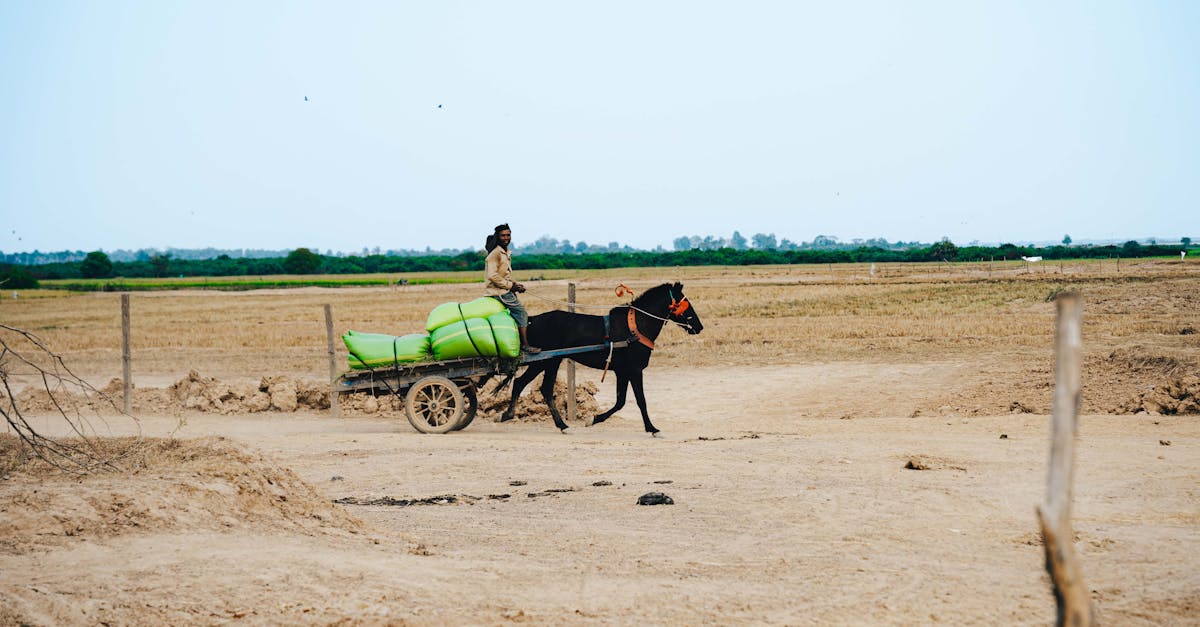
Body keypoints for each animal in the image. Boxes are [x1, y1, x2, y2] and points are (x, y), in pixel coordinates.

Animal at [499, 281, 700, 432]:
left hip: (548, 361)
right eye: (685, 303)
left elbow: (620, 401)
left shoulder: (622, 371)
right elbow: (640, 400)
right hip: (545, 361)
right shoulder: (634, 370)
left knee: (530, 385)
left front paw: (594, 419)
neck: (635, 326)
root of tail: (531, 320)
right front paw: (652, 428)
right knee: (535, 386)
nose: (699, 326)